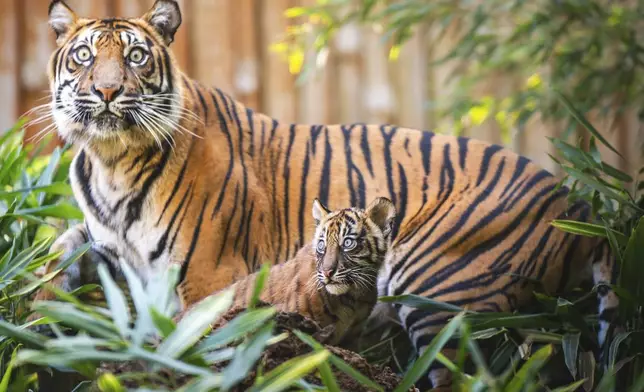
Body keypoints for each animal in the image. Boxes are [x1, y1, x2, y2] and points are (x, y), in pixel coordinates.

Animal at [35, 0, 620, 386]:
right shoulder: (105, 240)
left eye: (135, 57)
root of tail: (574, 202)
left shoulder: (208, 274)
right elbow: (56, 253)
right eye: (84, 56)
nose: (107, 91)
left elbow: (201, 336)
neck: (112, 160)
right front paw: (38, 320)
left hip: (434, 283)